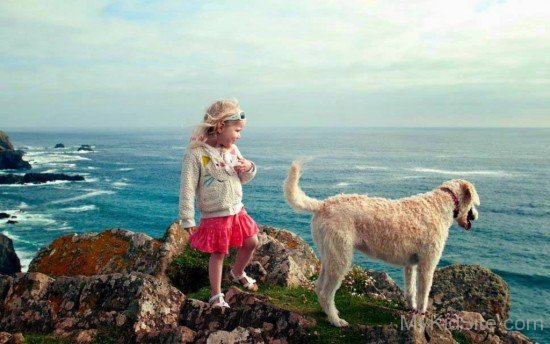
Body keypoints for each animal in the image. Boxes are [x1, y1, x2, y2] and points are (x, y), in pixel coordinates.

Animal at [286, 162, 480, 328]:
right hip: (340, 257)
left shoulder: (410, 264)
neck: (441, 204)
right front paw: (422, 314)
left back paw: (329, 313)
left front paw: (411, 308)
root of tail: (323, 204)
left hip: (330, 254)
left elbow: (410, 289)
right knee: (326, 292)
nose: (476, 216)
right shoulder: (427, 264)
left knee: (319, 288)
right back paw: (336, 320)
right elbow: (423, 293)